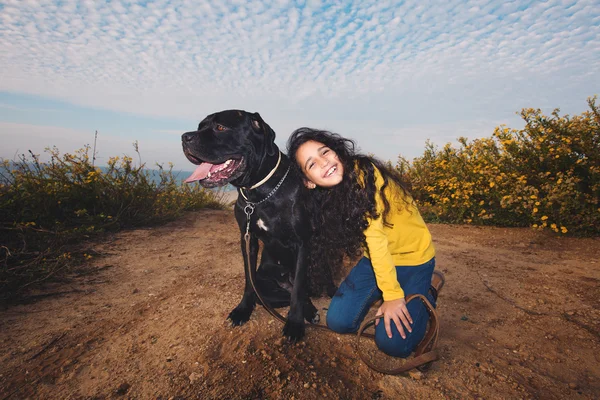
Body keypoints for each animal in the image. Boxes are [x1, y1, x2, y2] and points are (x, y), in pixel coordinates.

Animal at [182, 109, 318, 340]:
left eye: (220, 127)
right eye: (200, 126)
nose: (185, 137)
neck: (259, 192)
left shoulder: (302, 243)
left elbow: (299, 288)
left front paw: (294, 323)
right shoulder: (248, 240)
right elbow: (248, 280)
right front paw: (243, 310)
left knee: (299, 292)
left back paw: (309, 311)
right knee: (274, 296)